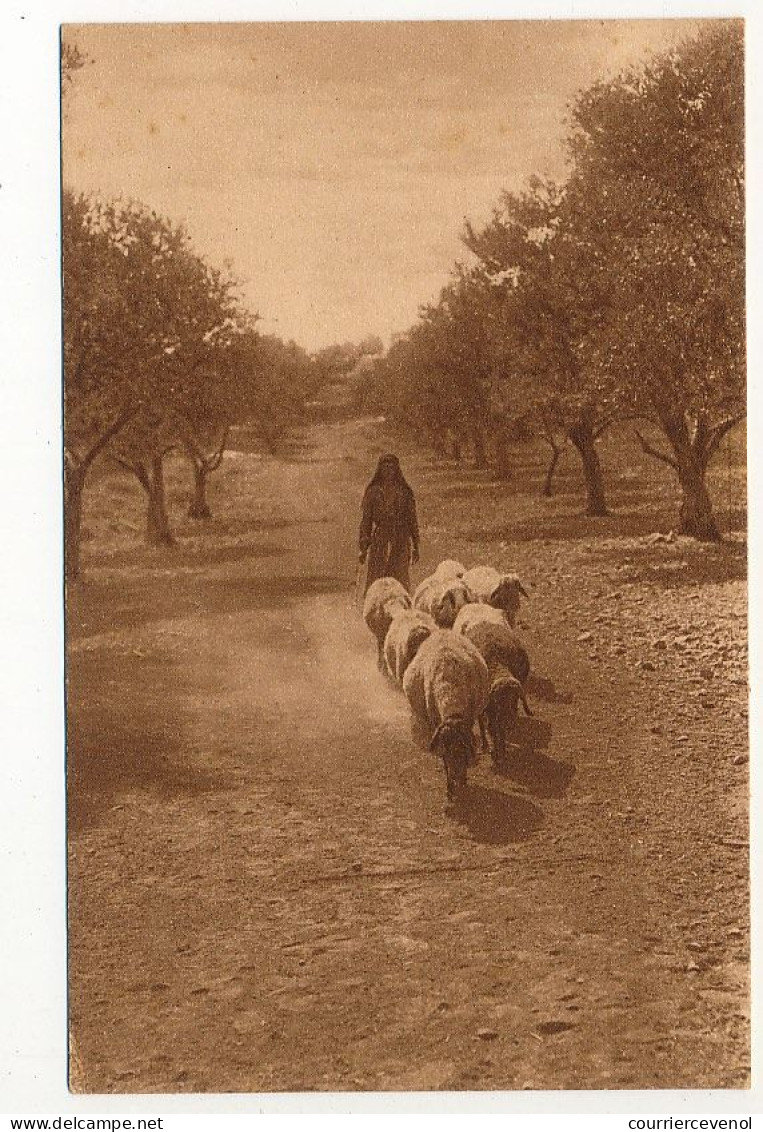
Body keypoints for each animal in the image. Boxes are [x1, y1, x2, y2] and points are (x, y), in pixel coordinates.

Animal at [400, 629, 491, 805]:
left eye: (463, 750)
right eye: (447, 751)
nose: (457, 777)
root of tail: (443, 631)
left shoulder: (467, 721)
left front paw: (463, 782)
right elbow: (444, 764)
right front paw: (450, 789)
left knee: (481, 720)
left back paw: (484, 743)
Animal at [455, 615, 532, 765]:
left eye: (515, 698)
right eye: (497, 700)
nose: (510, 721)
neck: (496, 662)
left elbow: (499, 730)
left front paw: (501, 752)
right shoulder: (490, 709)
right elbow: (493, 728)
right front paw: (496, 751)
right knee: (482, 721)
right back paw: (485, 743)